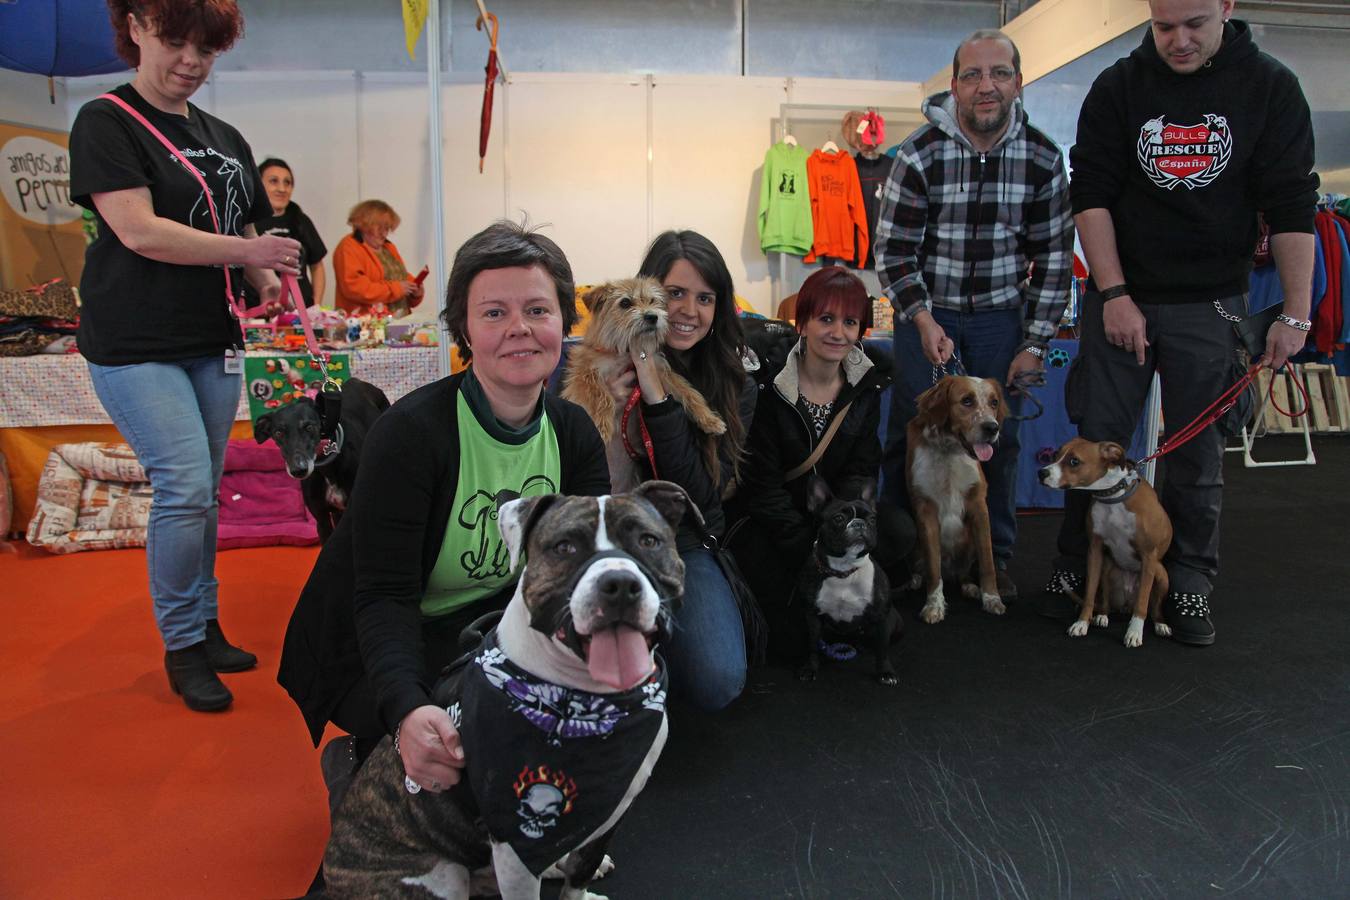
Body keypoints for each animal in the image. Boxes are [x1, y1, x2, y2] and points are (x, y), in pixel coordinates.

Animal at [321, 485, 691, 900]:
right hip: (444, 874)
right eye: (564, 547)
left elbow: (578, 876)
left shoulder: (612, 814)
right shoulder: (514, 849)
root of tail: (331, 874)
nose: (620, 584)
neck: (589, 704)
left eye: (647, 541)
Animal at [561, 282, 723, 493]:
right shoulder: (584, 372)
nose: (652, 316)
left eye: (653, 301)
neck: (625, 352)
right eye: (625, 303)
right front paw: (601, 427)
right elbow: (602, 396)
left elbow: (688, 392)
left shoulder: (658, 370)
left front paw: (710, 420)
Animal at [1036, 437, 1177, 644]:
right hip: (1107, 569)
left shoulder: (1149, 556)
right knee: (1104, 601)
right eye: (1056, 455)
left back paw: (1161, 624)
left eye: (1074, 461)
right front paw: (1082, 623)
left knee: (1154, 607)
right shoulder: (1095, 551)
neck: (1113, 496)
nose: (1041, 473)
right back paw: (1101, 616)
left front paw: (1134, 632)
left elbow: (1142, 602)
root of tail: (1125, 606)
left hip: (1160, 574)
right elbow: (1089, 594)